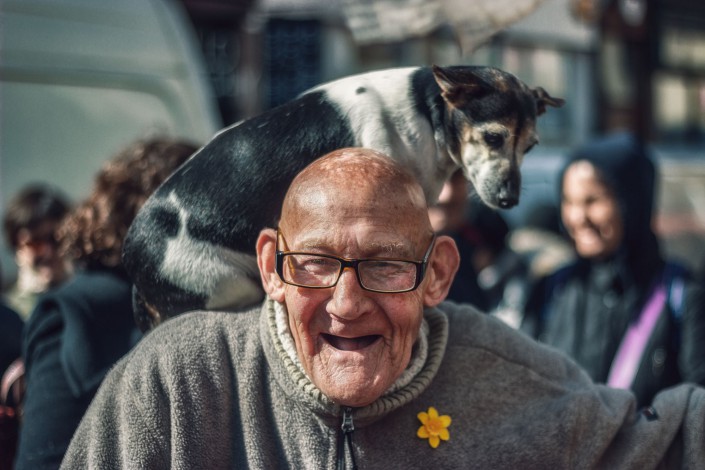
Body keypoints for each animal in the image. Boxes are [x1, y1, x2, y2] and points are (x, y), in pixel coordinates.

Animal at [121, 64, 560, 322]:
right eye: (493, 137)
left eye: (531, 148)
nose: (509, 200)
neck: (425, 112)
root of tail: (134, 262)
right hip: (225, 282)